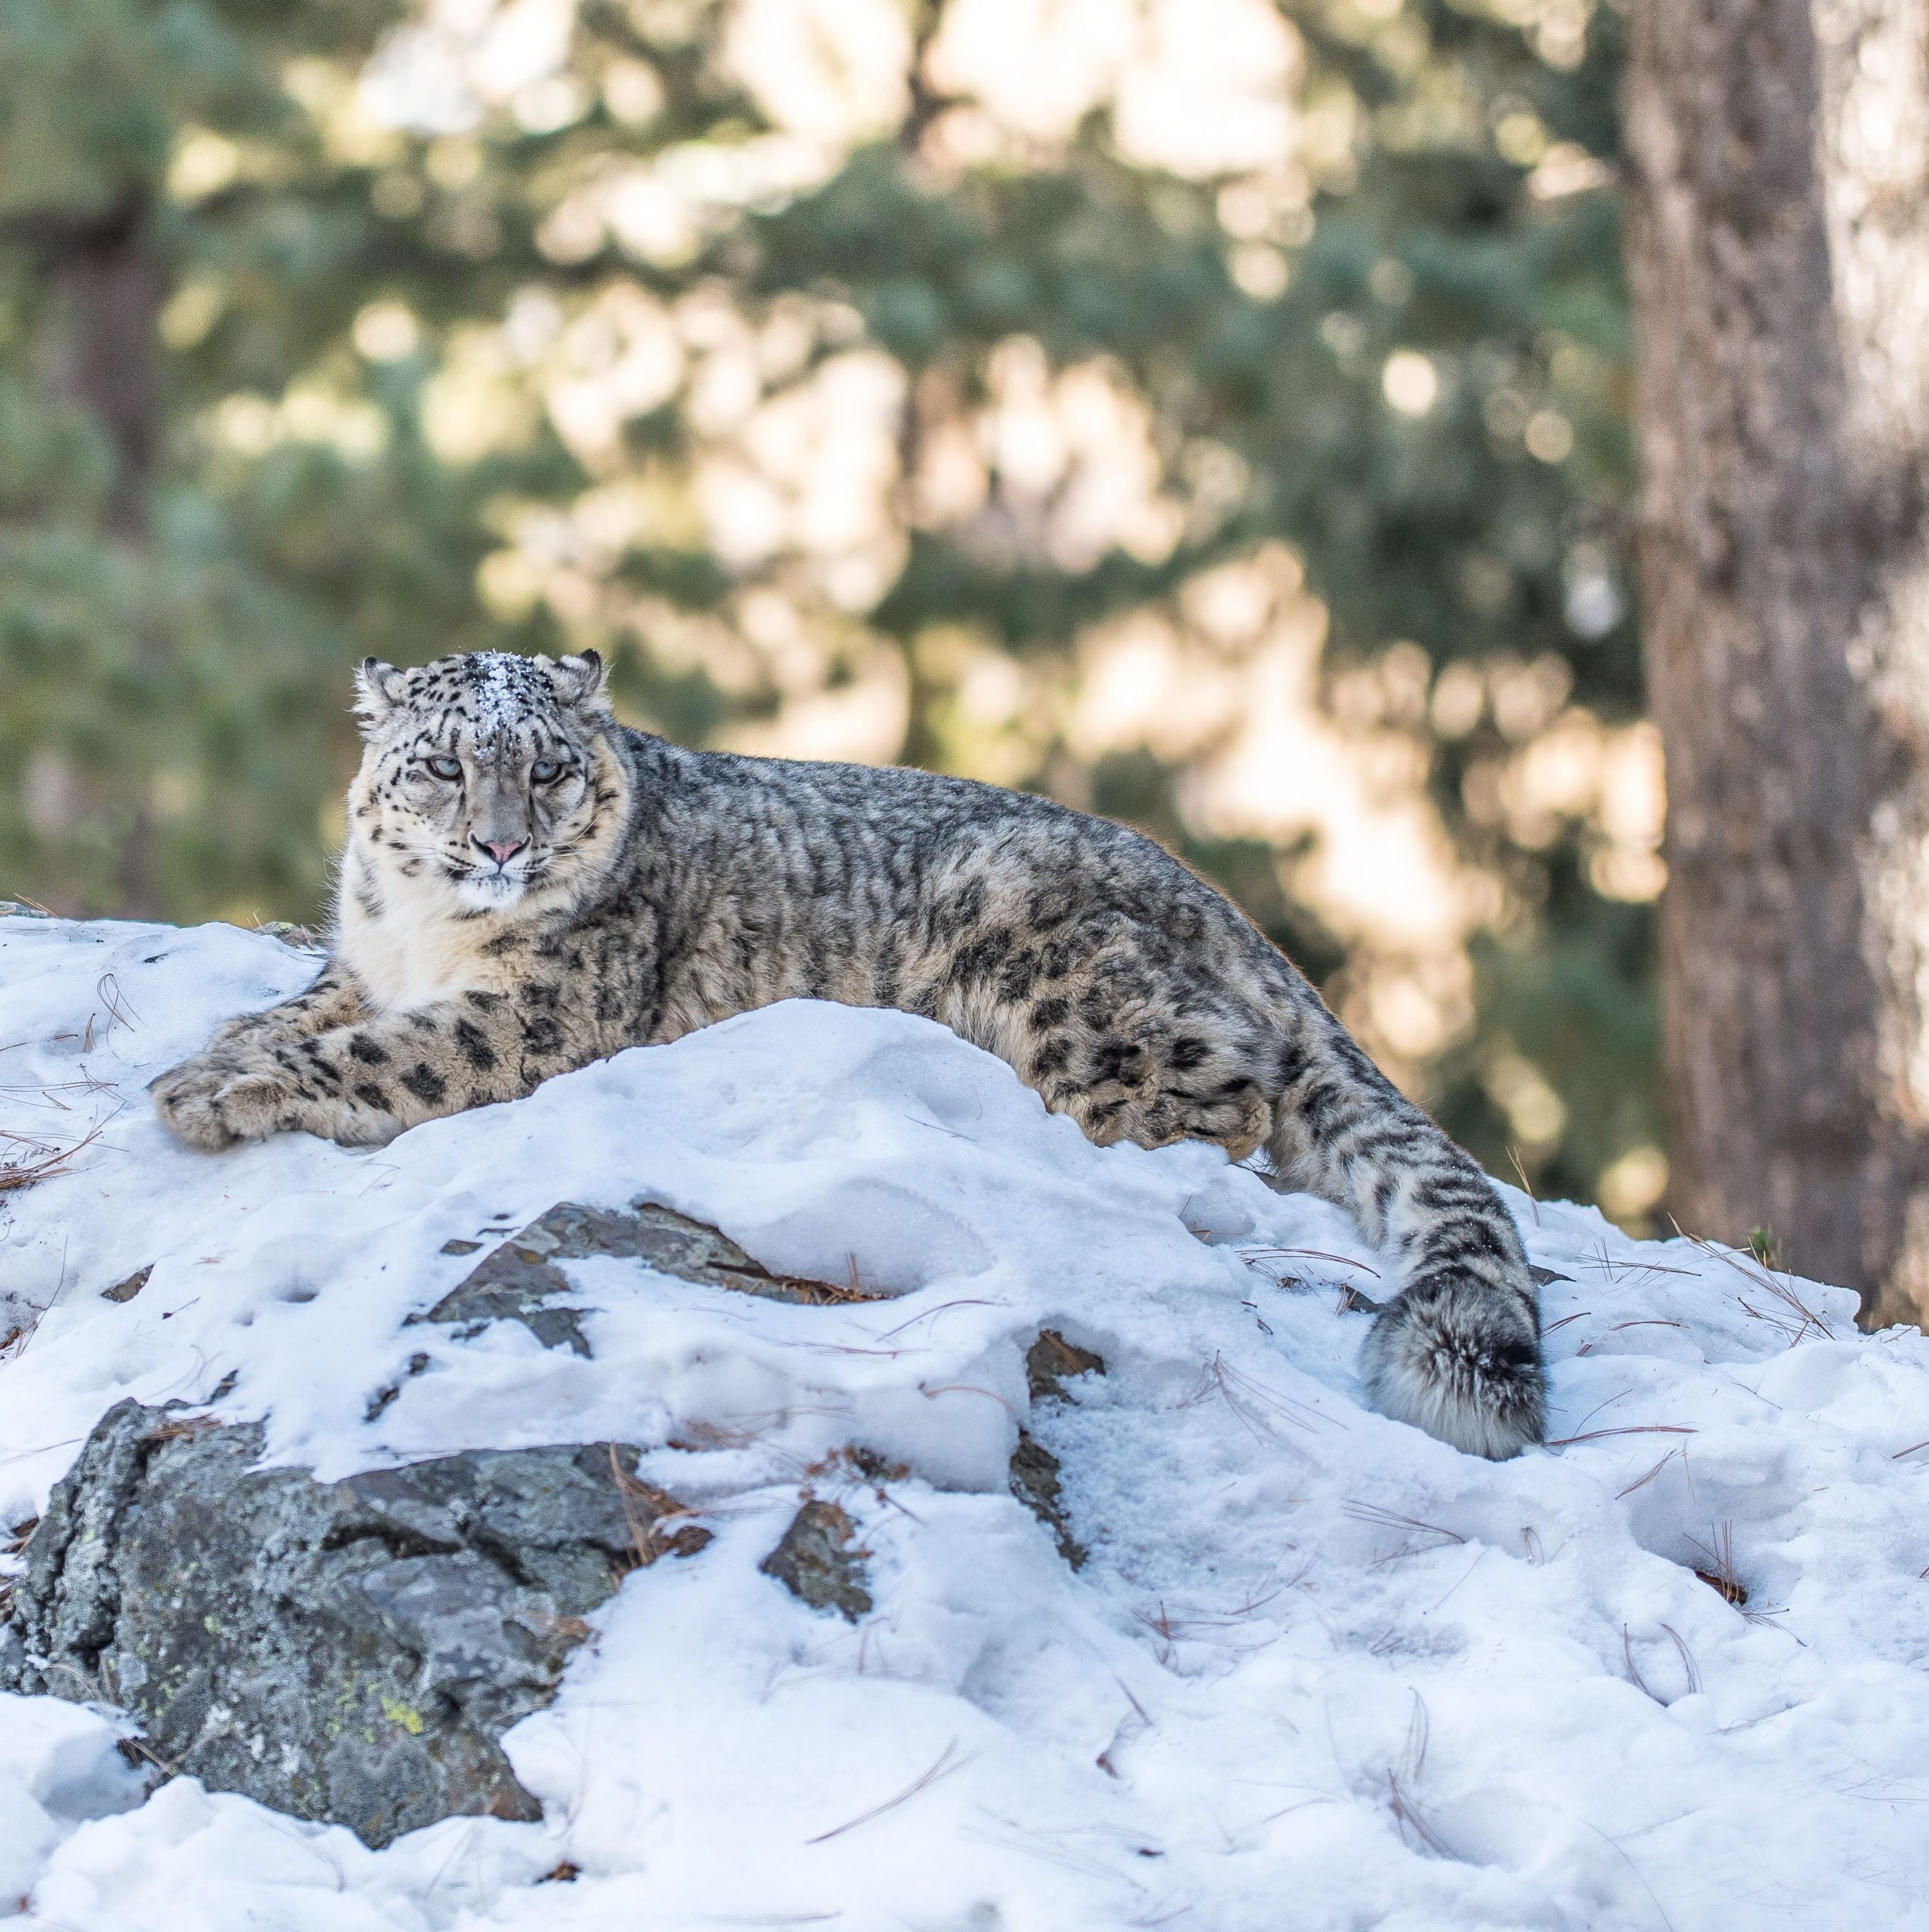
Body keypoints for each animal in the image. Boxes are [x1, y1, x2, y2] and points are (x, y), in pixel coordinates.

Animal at [150, 645, 1546, 1453]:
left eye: (546, 772)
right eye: (442, 767)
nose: (500, 845)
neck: (426, 933)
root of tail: (1217, 902)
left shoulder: (536, 1012)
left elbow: (382, 1056)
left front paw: (213, 1094)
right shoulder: (360, 967)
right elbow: (298, 1013)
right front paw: (203, 1057)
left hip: (1055, 982)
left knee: (1228, 1099)